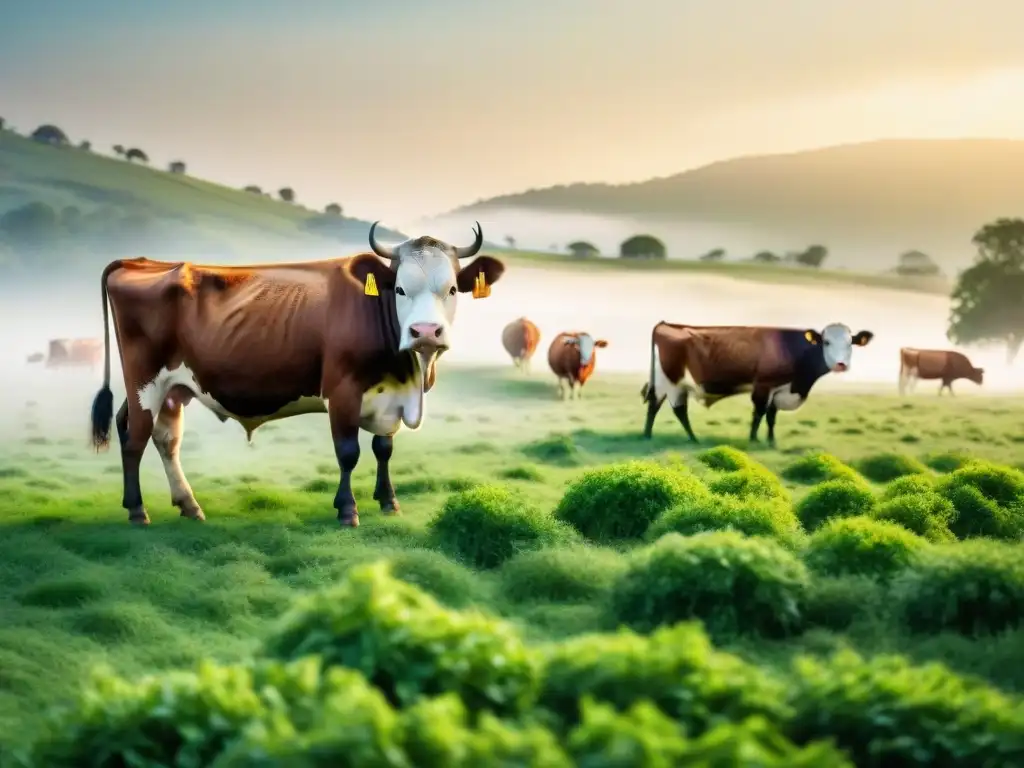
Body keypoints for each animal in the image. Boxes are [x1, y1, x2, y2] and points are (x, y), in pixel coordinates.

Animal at [88, 219, 503, 528]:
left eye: (452, 289)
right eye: (399, 289)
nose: (426, 332)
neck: (409, 373)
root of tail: (140, 261)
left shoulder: (390, 395)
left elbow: (383, 448)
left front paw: (389, 502)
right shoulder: (342, 390)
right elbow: (348, 452)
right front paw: (347, 510)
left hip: (173, 386)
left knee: (162, 436)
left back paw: (189, 505)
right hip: (145, 379)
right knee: (135, 437)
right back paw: (138, 510)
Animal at [638, 323, 872, 444]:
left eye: (850, 343)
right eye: (827, 342)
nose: (841, 364)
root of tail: (667, 325)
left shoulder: (779, 390)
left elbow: (771, 417)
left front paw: (771, 441)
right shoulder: (764, 385)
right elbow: (758, 413)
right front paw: (753, 440)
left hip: (665, 383)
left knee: (656, 406)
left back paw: (649, 435)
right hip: (672, 382)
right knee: (674, 409)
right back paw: (690, 439)